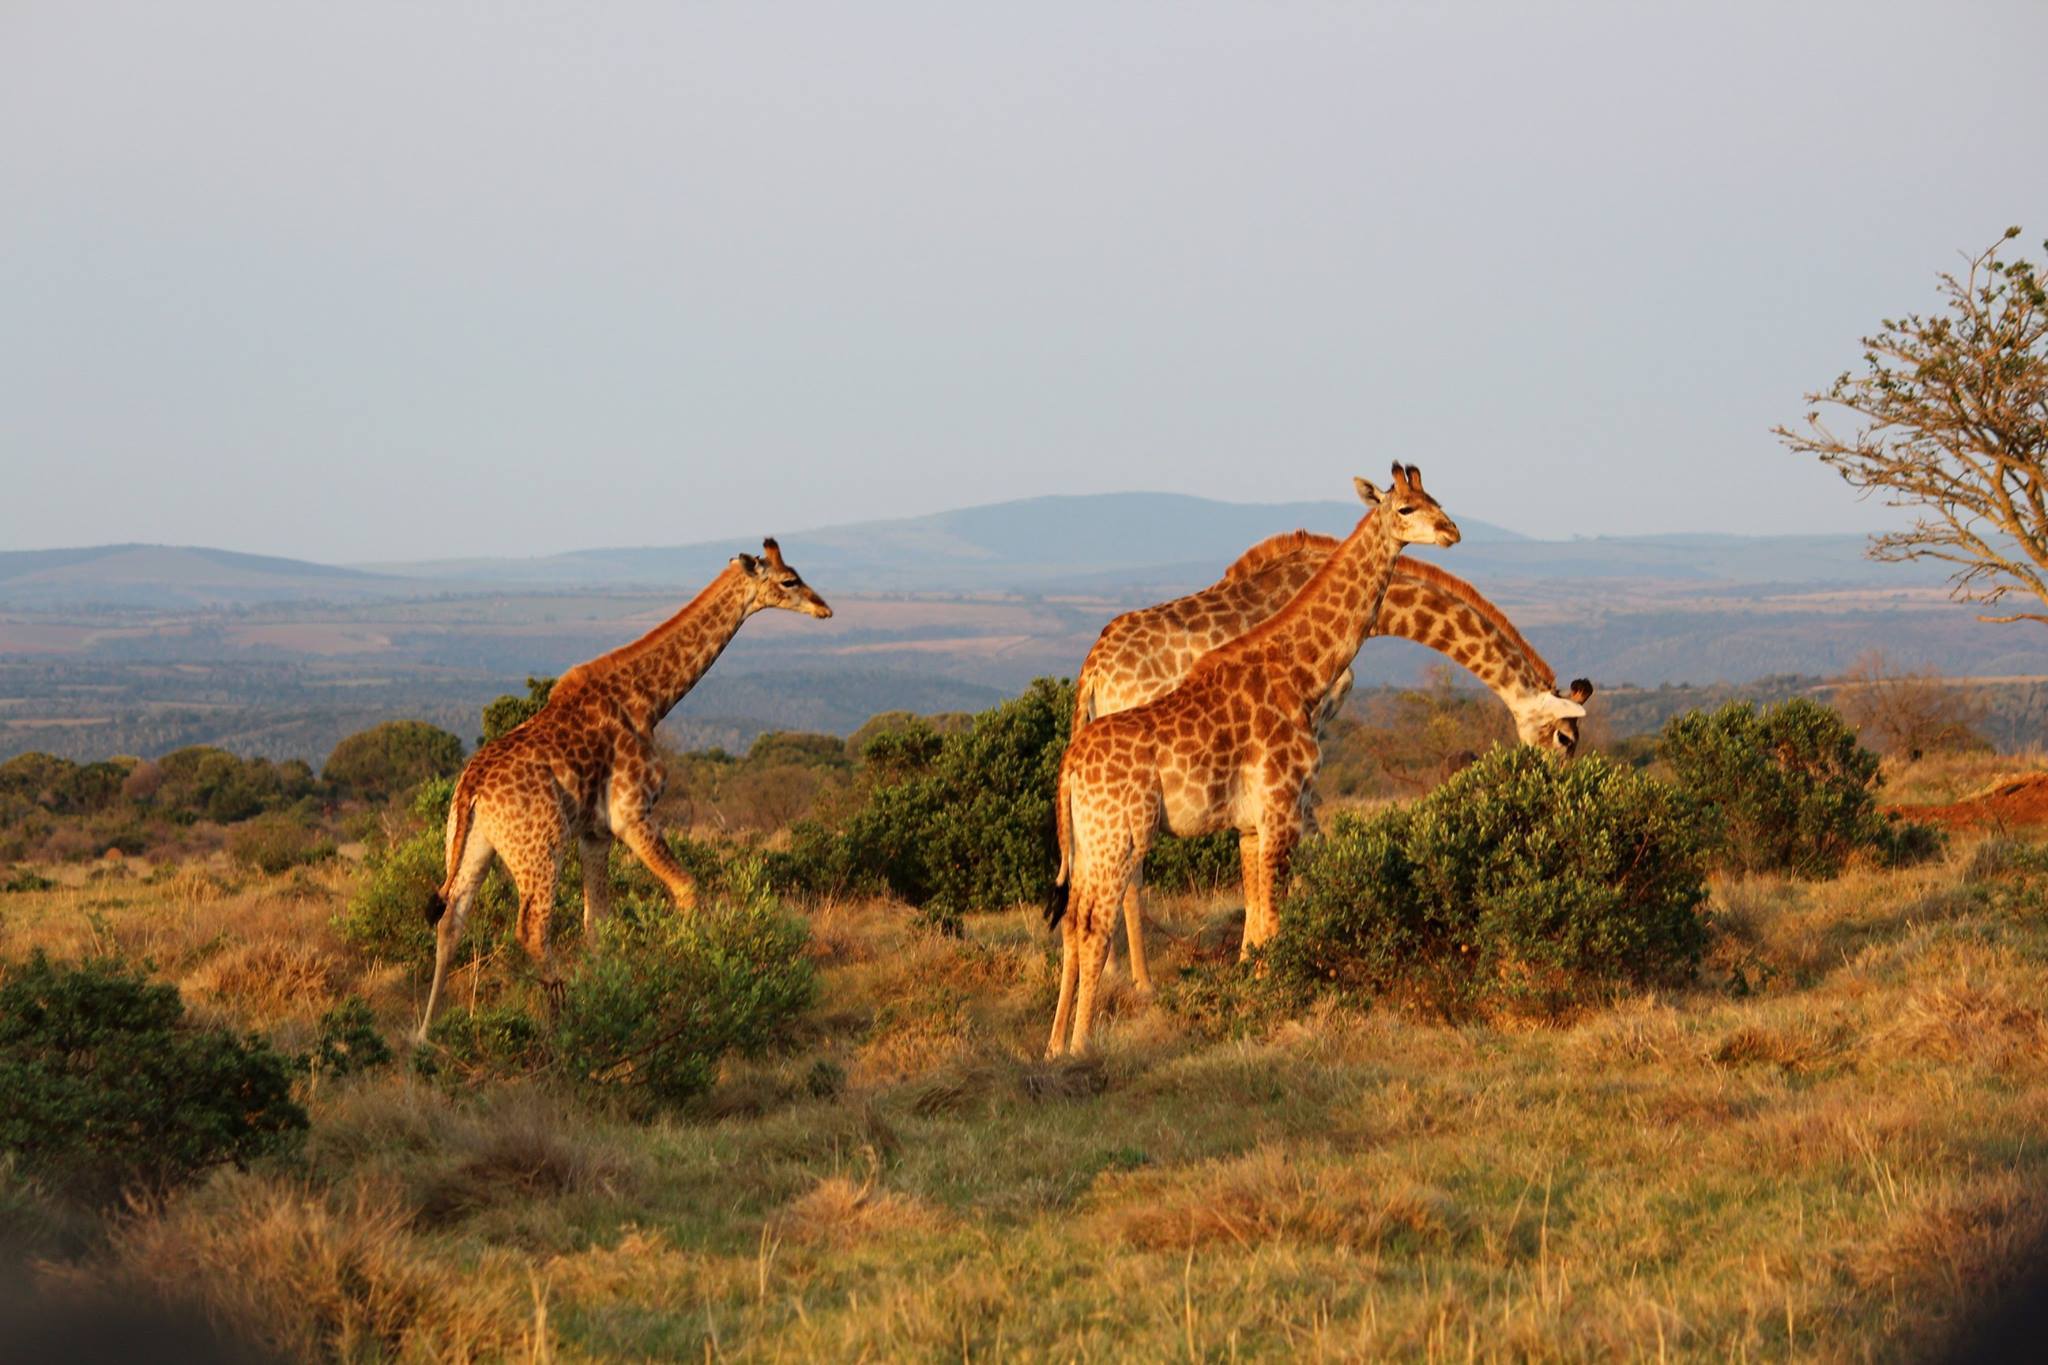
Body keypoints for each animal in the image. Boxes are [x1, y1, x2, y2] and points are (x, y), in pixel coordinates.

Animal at [415, 540, 831, 1039]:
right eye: (789, 580)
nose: (824, 608)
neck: (649, 699)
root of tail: (471, 787)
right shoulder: (633, 815)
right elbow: (688, 888)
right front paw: (699, 979)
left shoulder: (596, 833)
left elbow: (598, 924)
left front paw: (609, 996)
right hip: (540, 846)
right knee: (532, 927)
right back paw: (560, 1023)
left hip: (472, 842)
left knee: (451, 919)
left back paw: (426, 1034)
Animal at [1048, 462, 1466, 1055]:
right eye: (1406, 508)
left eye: (1436, 499)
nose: (1452, 531)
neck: (1304, 671)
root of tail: (1068, 769)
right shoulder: (1282, 807)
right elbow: (1274, 917)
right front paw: (1273, 1004)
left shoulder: (1251, 822)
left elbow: (1258, 918)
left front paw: (1253, 992)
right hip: (1120, 836)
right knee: (1093, 925)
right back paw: (1083, 1044)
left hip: (1087, 840)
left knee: (1070, 921)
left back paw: (1053, 1045)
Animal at [1073, 540, 1597, 998]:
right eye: (1565, 739)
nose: (1552, 796)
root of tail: (1094, 671)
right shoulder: (1303, 738)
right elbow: (1305, 849)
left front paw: (1256, 961)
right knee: (1128, 872)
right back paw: (1142, 982)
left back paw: (1114, 972)